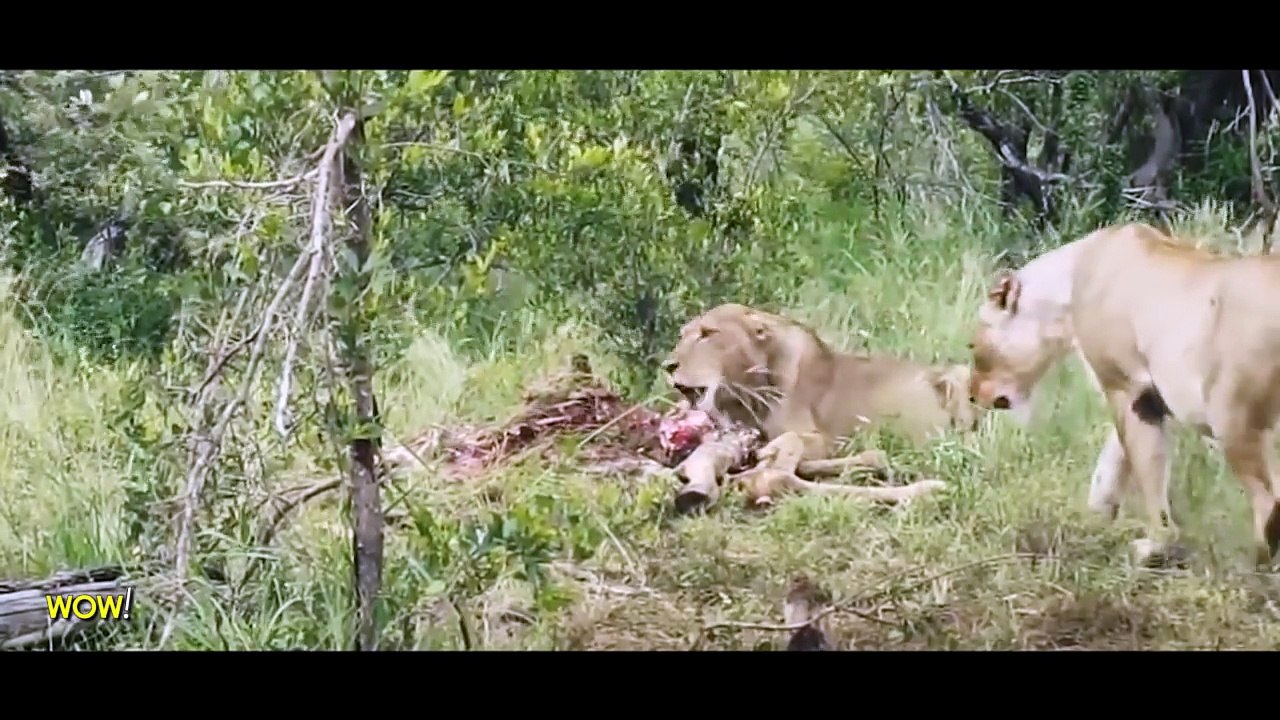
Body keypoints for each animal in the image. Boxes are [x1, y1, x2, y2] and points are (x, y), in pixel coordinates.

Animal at [662, 302, 978, 509]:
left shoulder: (821, 438)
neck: (745, 395)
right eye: (682, 336)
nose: (667, 365)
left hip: (963, 378)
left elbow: (791, 441)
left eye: (708, 333)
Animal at [968, 221, 1280, 569]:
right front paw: (1097, 513)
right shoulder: (1146, 395)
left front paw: (1154, 546)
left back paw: (1254, 562)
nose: (971, 394)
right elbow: (1116, 456)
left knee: (1269, 502)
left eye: (974, 347)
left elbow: (1146, 468)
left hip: (1233, 418)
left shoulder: (1128, 388)